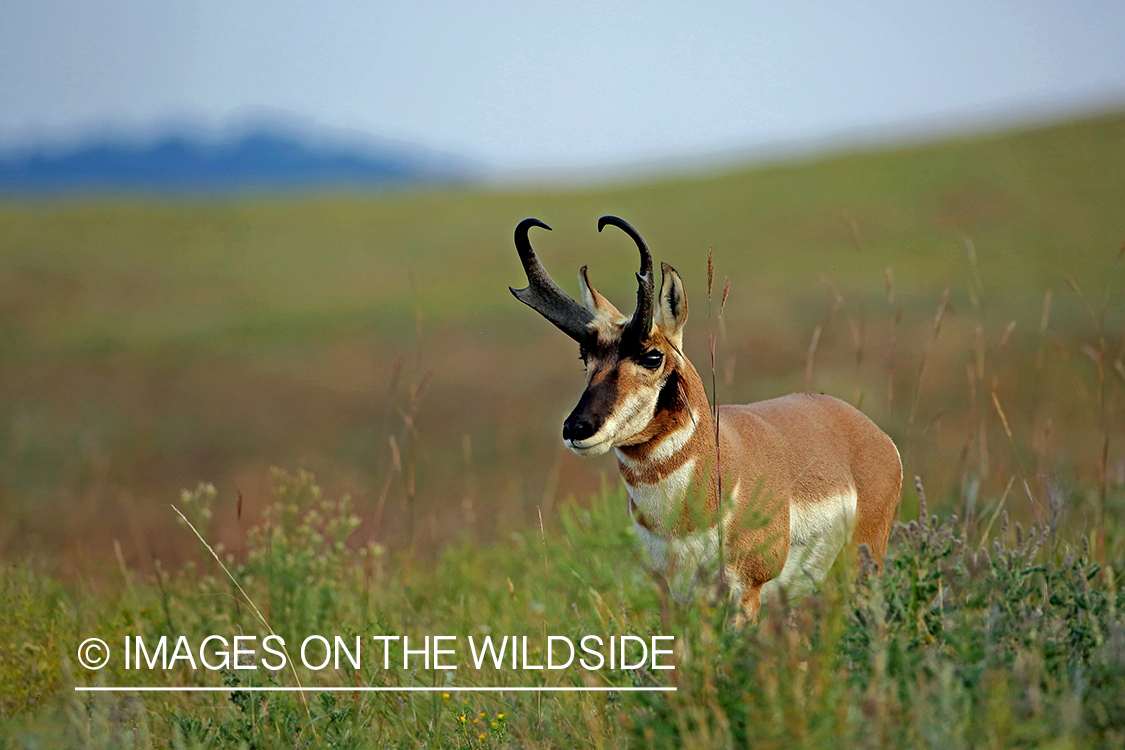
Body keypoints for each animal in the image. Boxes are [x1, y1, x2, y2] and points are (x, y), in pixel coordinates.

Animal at [510, 215, 904, 620]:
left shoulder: (746, 593)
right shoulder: (670, 593)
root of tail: (870, 431)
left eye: (652, 356)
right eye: (585, 357)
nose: (577, 428)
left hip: (861, 569)